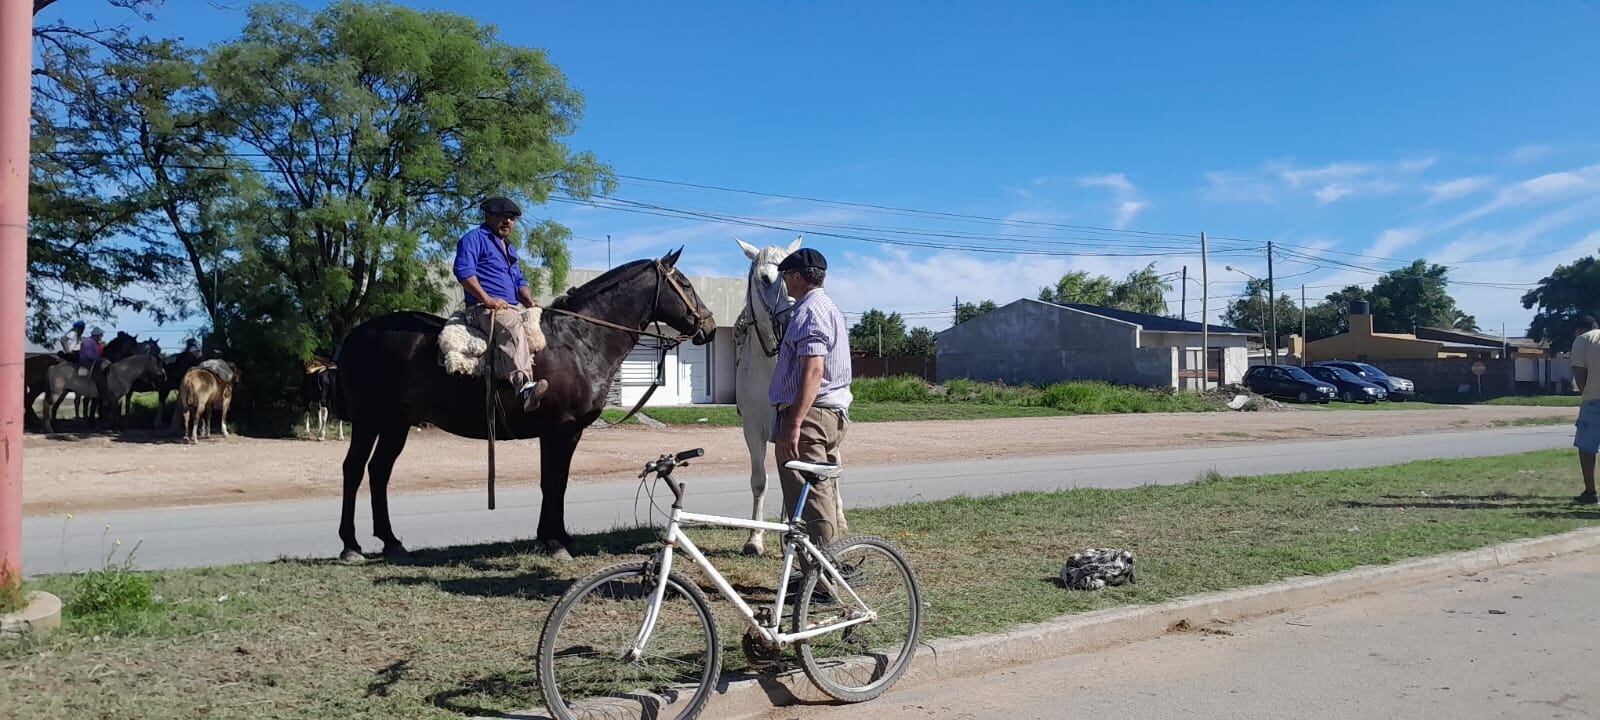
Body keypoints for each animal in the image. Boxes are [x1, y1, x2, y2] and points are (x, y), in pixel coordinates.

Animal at [334, 252, 716, 563]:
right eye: (684, 283)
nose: (709, 326)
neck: (578, 340)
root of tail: (353, 338)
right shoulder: (557, 428)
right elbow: (551, 482)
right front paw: (553, 542)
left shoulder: (571, 433)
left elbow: (559, 482)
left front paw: (558, 537)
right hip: (368, 420)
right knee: (354, 470)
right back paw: (350, 546)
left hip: (396, 423)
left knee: (379, 472)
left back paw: (391, 542)